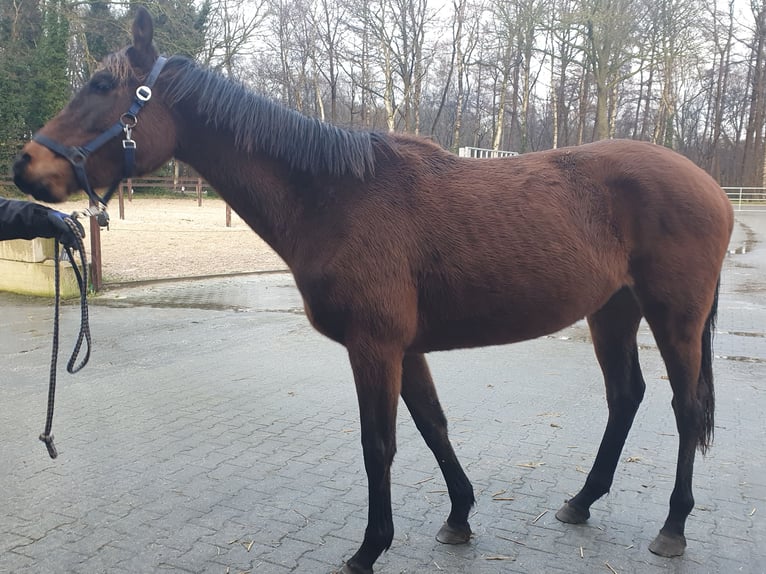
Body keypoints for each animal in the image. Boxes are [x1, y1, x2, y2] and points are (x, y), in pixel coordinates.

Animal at [10, 9, 732, 574]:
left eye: (103, 85)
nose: (26, 165)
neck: (336, 197)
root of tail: (712, 185)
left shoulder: (374, 347)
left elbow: (378, 444)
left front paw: (368, 549)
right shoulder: (404, 349)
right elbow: (434, 426)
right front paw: (459, 517)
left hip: (674, 317)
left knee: (685, 408)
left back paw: (672, 528)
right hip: (612, 311)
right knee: (626, 397)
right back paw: (581, 502)